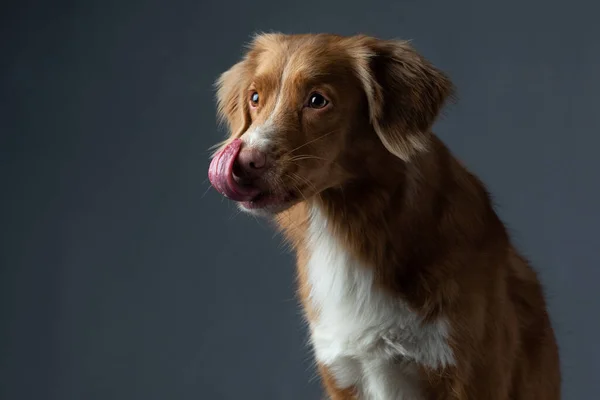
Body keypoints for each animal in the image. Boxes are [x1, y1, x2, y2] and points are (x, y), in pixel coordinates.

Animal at [207, 33, 564, 400]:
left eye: (318, 100)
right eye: (254, 98)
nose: (241, 163)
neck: (351, 227)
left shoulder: (470, 375)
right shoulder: (342, 373)